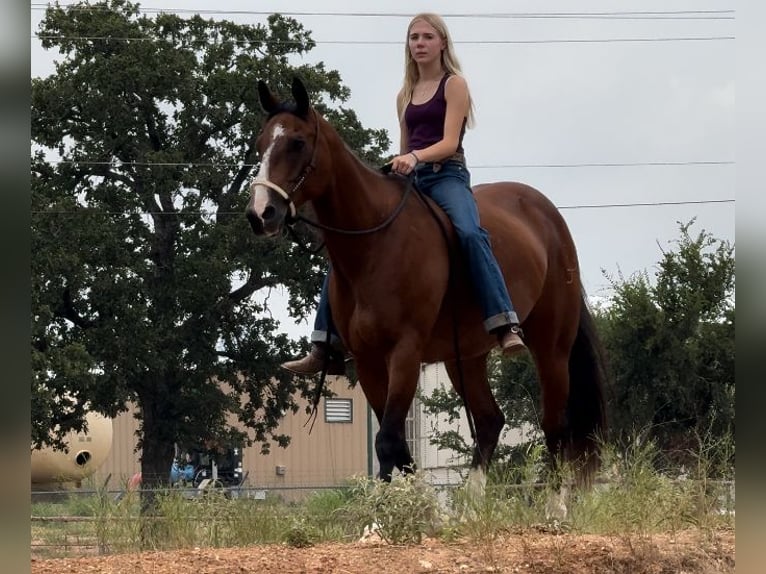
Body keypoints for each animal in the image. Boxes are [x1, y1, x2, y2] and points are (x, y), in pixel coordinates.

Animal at [249, 75, 608, 490]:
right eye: (260, 143)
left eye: (297, 142)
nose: (260, 214)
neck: (375, 244)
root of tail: (548, 216)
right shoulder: (368, 361)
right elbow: (398, 451)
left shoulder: (405, 352)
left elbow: (389, 442)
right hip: (464, 357)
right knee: (490, 421)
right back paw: (471, 501)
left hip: (551, 348)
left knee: (555, 429)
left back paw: (554, 503)